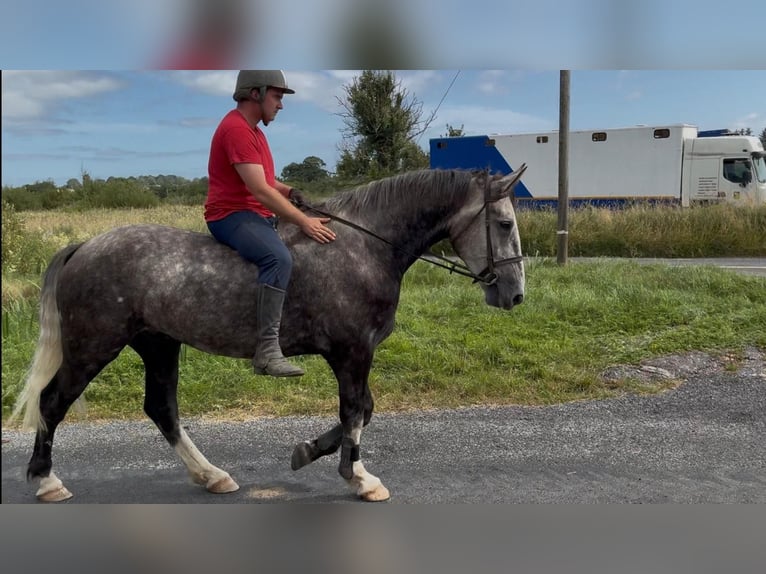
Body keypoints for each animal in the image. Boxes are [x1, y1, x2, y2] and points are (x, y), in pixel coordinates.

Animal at [11, 165, 528, 502]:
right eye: (504, 223)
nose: (515, 294)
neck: (362, 246)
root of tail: (84, 248)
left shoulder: (353, 353)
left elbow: (363, 410)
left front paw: (308, 452)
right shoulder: (352, 352)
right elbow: (356, 410)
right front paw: (359, 477)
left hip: (158, 344)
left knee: (162, 409)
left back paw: (211, 475)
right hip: (93, 347)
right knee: (52, 404)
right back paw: (47, 481)